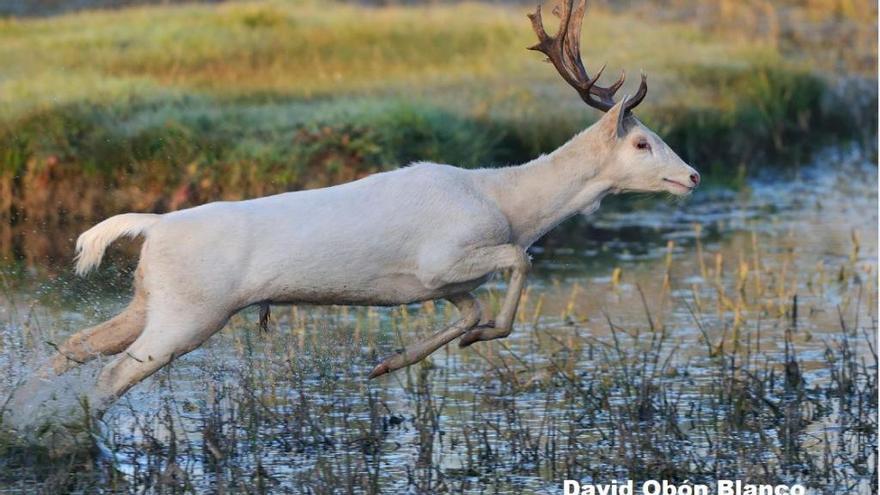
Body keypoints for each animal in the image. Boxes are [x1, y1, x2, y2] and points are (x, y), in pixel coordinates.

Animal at [3, 0, 696, 432]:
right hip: (191, 313)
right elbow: (517, 267)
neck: (507, 202)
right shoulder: (446, 257)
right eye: (642, 143)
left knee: (77, 346)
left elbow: (470, 310)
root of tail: (152, 226)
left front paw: (390, 363)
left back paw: (25, 417)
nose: (690, 176)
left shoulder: (440, 283)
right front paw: (474, 339)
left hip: (150, 297)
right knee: (112, 375)